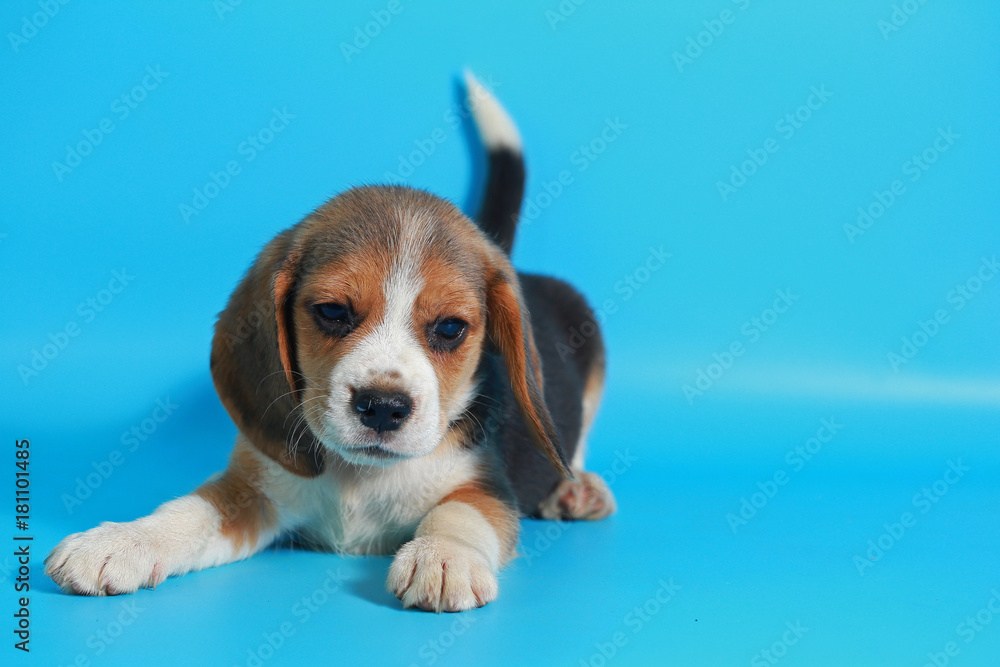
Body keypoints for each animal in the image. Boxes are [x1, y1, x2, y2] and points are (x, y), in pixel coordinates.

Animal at [47, 72, 612, 612]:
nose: (382, 406)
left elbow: (461, 512)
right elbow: (189, 509)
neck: (360, 477)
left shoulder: (487, 487)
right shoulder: (253, 490)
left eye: (451, 328)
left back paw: (577, 489)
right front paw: (121, 541)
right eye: (333, 312)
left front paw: (442, 557)